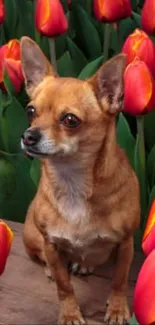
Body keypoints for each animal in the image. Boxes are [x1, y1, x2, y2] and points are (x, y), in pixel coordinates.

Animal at [20, 36, 140, 324]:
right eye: (31, 111)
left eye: (70, 120)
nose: (29, 135)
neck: (72, 181)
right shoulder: (51, 243)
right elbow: (65, 287)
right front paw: (70, 313)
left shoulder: (126, 243)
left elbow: (119, 280)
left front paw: (118, 309)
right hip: (32, 236)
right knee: (45, 259)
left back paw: (84, 263)